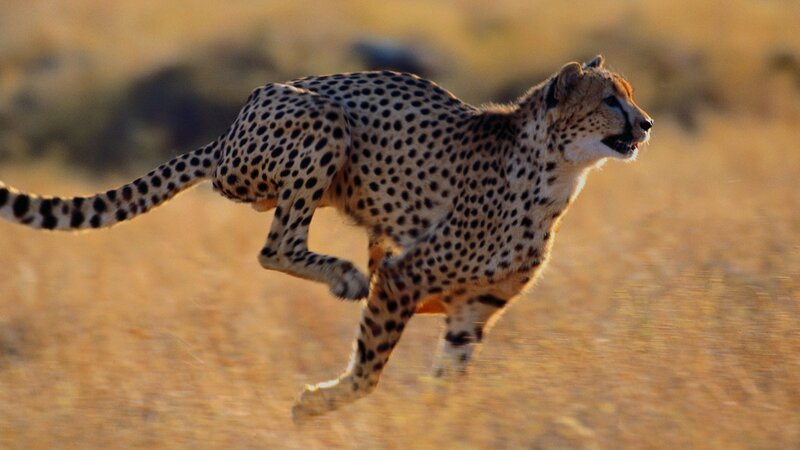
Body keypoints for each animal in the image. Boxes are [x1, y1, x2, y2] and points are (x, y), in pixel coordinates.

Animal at [0, 55, 652, 420]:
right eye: (610, 99)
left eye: (629, 94)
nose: (645, 123)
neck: (556, 172)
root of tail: (229, 130)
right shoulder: (406, 276)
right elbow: (369, 369)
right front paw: (316, 404)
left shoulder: (475, 307)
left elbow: (447, 379)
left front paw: (437, 422)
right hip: (319, 122)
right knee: (275, 246)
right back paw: (342, 276)